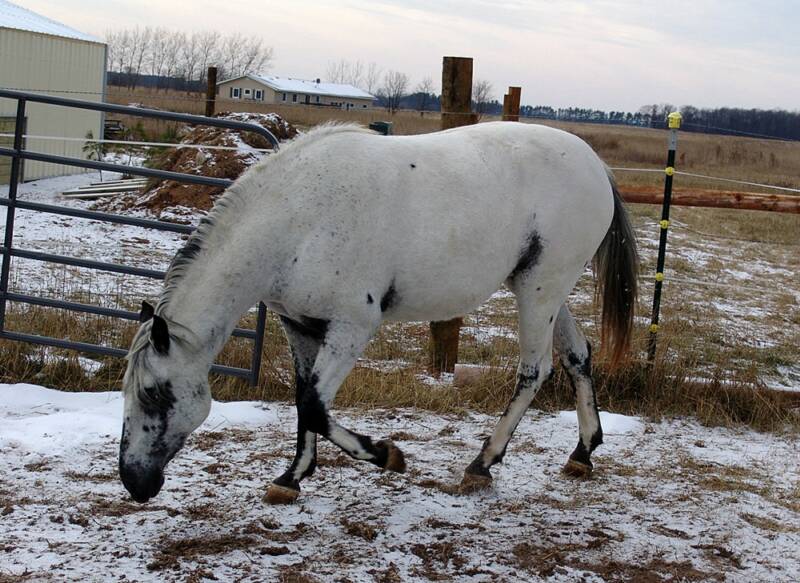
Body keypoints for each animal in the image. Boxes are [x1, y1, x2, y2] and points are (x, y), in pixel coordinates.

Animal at [119, 123, 640, 506]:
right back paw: (582, 453)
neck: (295, 220)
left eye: (153, 393)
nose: (133, 481)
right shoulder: (300, 324)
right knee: (577, 355)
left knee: (535, 370)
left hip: (539, 291)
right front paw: (291, 478)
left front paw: (386, 455)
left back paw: (482, 464)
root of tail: (594, 163)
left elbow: (313, 405)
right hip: (545, 291)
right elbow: (303, 401)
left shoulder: (352, 326)